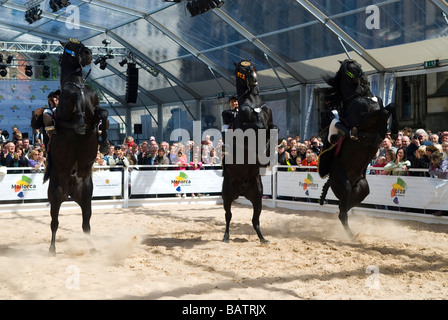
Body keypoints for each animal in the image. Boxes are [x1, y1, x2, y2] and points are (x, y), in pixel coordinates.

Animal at [45, 38, 108, 252]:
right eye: (71, 46)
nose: (88, 53)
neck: (79, 85)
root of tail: (70, 190)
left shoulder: (95, 108)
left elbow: (103, 113)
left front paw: (105, 143)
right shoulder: (65, 108)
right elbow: (73, 99)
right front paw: (80, 122)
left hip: (87, 196)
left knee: (86, 223)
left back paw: (93, 248)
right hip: (55, 195)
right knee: (54, 223)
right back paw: (52, 249)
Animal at [221, 60, 276, 244]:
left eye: (252, 67)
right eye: (242, 69)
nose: (253, 80)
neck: (254, 104)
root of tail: (242, 190)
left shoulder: (270, 120)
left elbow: (272, 128)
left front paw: (269, 151)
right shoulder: (246, 130)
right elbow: (258, 127)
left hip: (257, 196)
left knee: (255, 220)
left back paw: (263, 239)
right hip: (227, 195)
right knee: (228, 216)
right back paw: (226, 237)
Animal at [318, 59, 400, 240]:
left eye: (359, 64)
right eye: (350, 67)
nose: (364, 79)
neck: (361, 97)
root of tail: (331, 180)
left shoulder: (380, 126)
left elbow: (391, 106)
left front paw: (395, 130)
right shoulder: (365, 120)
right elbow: (384, 111)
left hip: (361, 191)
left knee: (343, 210)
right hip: (345, 186)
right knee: (342, 214)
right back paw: (352, 236)